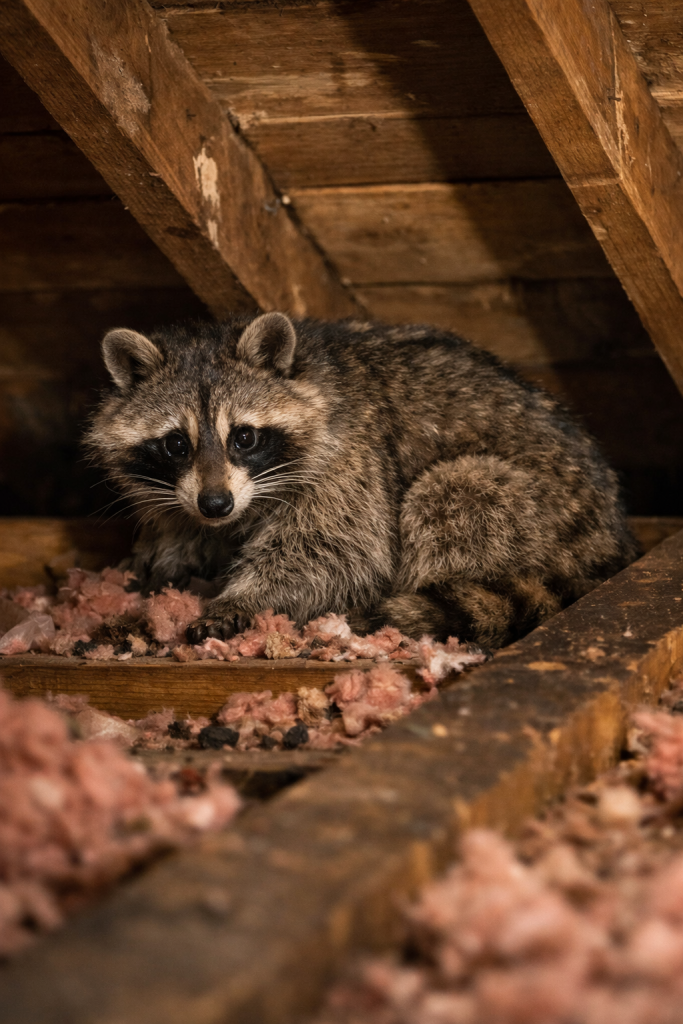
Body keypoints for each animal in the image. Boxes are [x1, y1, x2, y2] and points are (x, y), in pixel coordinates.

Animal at [87, 312, 637, 649]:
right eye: (176, 444)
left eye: (243, 437)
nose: (216, 505)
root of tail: (611, 542)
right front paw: (170, 548)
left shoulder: (350, 458)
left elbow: (338, 552)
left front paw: (240, 598)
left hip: (534, 511)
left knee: (452, 493)